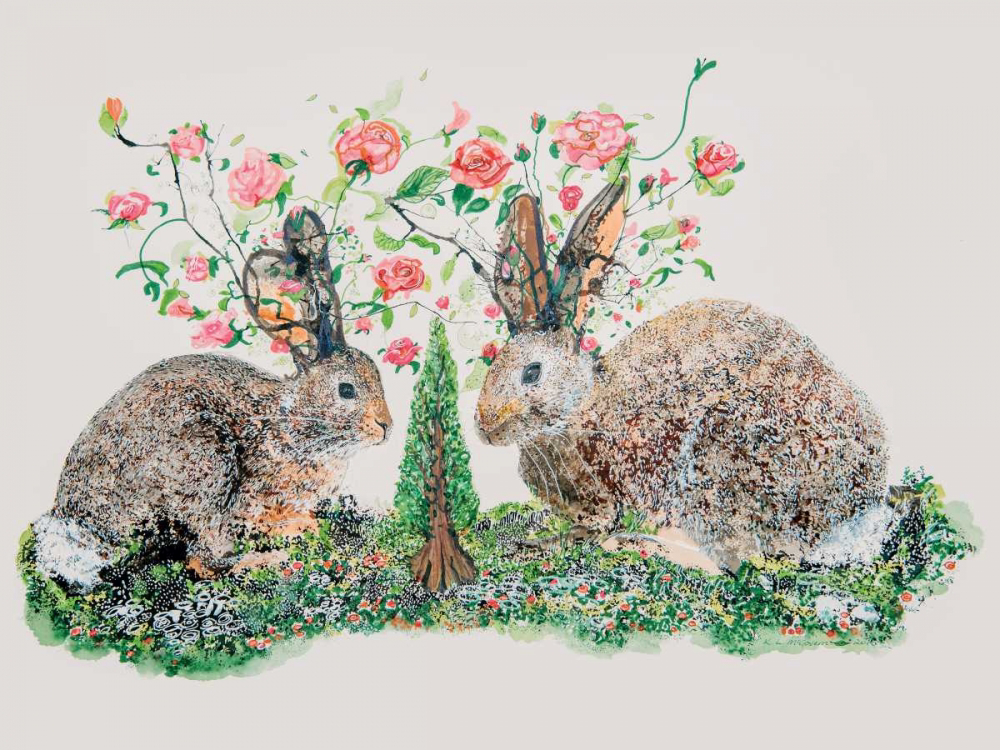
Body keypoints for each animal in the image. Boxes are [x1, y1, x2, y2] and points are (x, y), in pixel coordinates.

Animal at [34, 209, 392, 589]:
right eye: (346, 390)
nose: (387, 426)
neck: (295, 421)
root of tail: (80, 527)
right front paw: (299, 528)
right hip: (206, 462)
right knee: (203, 559)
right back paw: (268, 559)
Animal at [472, 180, 894, 573]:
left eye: (532, 372)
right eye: (493, 365)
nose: (484, 429)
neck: (579, 410)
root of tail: (856, 509)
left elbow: (599, 524)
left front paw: (550, 541)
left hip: (723, 462)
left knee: (734, 561)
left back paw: (639, 544)